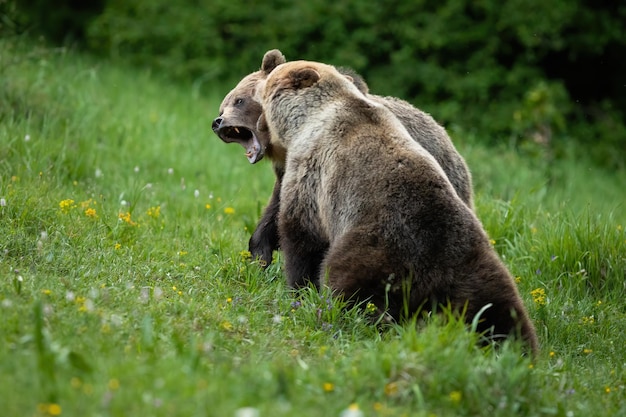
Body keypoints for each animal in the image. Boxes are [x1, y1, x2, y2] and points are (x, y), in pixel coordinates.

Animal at [212, 48, 470, 266]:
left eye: (239, 100)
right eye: (223, 106)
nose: (217, 121)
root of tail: (442, 130)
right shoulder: (292, 172)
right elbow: (277, 211)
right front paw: (259, 254)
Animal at [256, 59, 540, 354]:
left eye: (265, 87)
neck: (307, 117)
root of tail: (433, 275)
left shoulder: (311, 171)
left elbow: (301, 235)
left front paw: (299, 289)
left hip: (374, 249)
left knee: (351, 290)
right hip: (473, 263)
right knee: (497, 309)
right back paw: (517, 348)